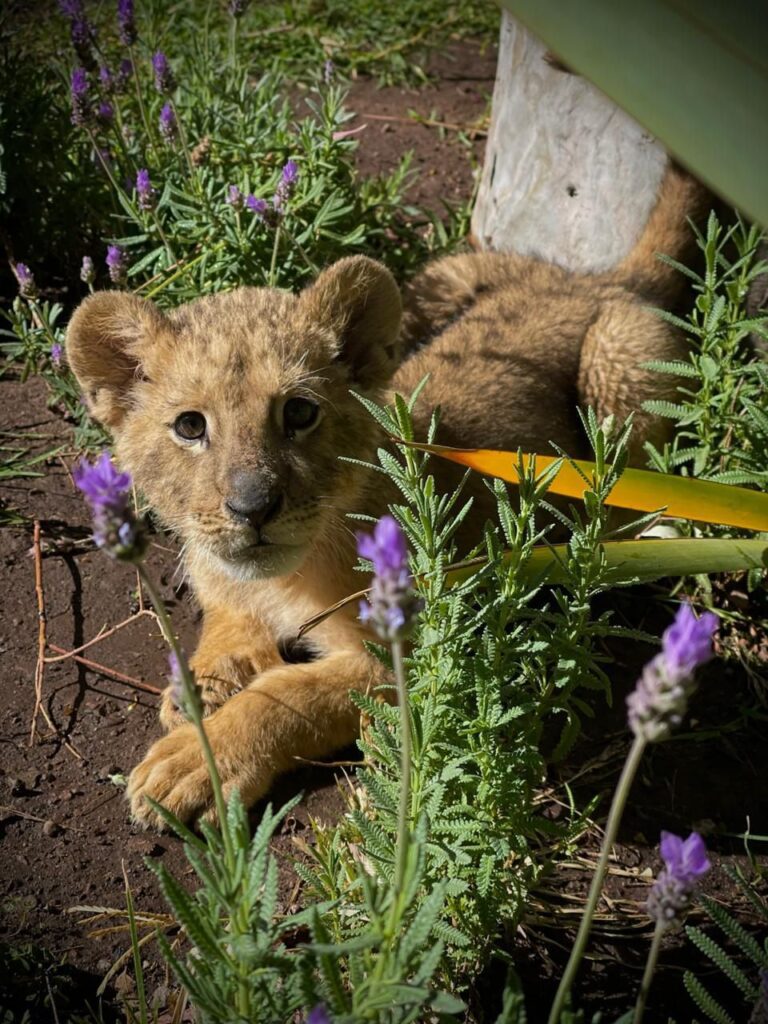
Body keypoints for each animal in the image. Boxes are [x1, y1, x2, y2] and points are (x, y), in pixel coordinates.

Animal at [66, 166, 706, 828]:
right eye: (190, 426)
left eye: (299, 413)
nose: (253, 508)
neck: (284, 579)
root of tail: (596, 280)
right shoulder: (226, 579)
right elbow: (226, 619)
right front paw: (201, 685)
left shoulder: (407, 651)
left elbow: (290, 695)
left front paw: (199, 759)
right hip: (438, 279)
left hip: (617, 369)